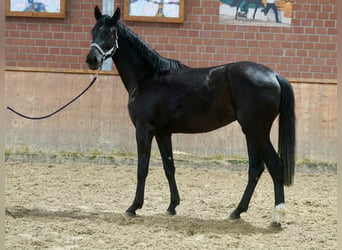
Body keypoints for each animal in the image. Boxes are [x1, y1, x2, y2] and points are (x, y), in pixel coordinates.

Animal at [86, 6, 296, 227]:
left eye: (110, 34)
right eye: (93, 31)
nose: (92, 59)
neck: (148, 77)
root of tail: (274, 75)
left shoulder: (144, 131)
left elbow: (142, 168)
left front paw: (133, 207)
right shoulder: (162, 133)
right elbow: (169, 166)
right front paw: (172, 206)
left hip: (256, 131)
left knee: (275, 165)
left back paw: (276, 217)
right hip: (251, 133)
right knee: (256, 168)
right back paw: (237, 212)